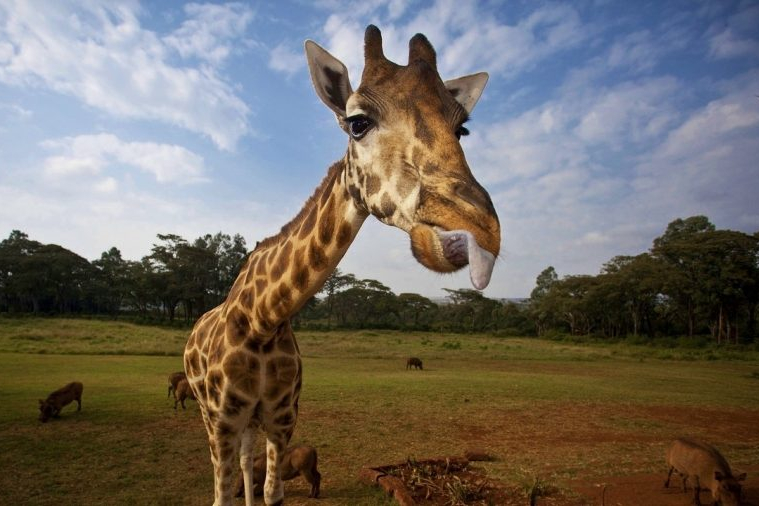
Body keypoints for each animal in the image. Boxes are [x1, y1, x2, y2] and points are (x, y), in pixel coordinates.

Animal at [183, 25, 500, 506]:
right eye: (357, 122)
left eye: (461, 128)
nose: (481, 232)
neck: (262, 320)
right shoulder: (222, 420)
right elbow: (222, 495)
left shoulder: (282, 418)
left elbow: (272, 492)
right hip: (211, 416)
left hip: (252, 424)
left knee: (247, 463)